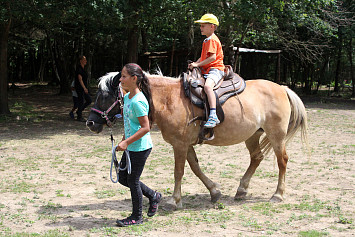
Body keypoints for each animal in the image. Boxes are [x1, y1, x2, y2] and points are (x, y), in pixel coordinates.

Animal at [86, 71, 308, 211]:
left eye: (105, 96)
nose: (90, 122)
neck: (168, 99)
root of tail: (282, 88)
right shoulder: (187, 144)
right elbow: (195, 167)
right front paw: (214, 191)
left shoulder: (180, 145)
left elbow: (179, 171)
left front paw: (175, 201)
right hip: (253, 135)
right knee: (256, 158)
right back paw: (241, 189)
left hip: (276, 135)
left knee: (282, 161)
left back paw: (277, 194)